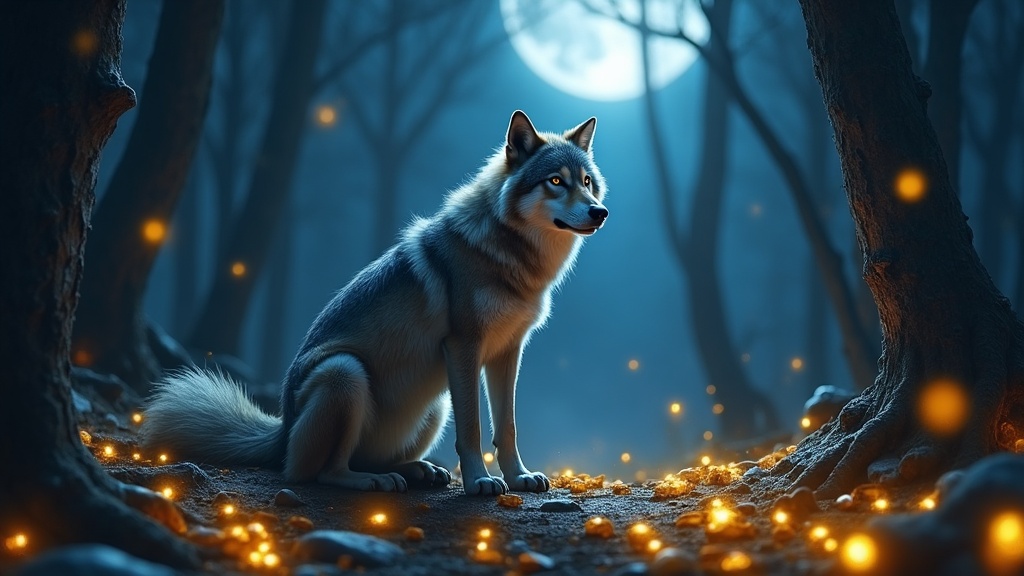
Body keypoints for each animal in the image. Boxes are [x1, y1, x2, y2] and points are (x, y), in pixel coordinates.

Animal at [142, 111, 608, 495]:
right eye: (555, 181)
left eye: (586, 182)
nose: (600, 212)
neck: (509, 254)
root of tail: (282, 431)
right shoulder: (464, 347)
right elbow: (473, 430)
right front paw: (479, 482)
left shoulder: (508, 352)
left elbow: (507, 426)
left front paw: (519, 477)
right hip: (346, 373)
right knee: (318, 472)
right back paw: (373, 481)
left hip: (435, 403)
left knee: (364, 460)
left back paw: (418, 470)